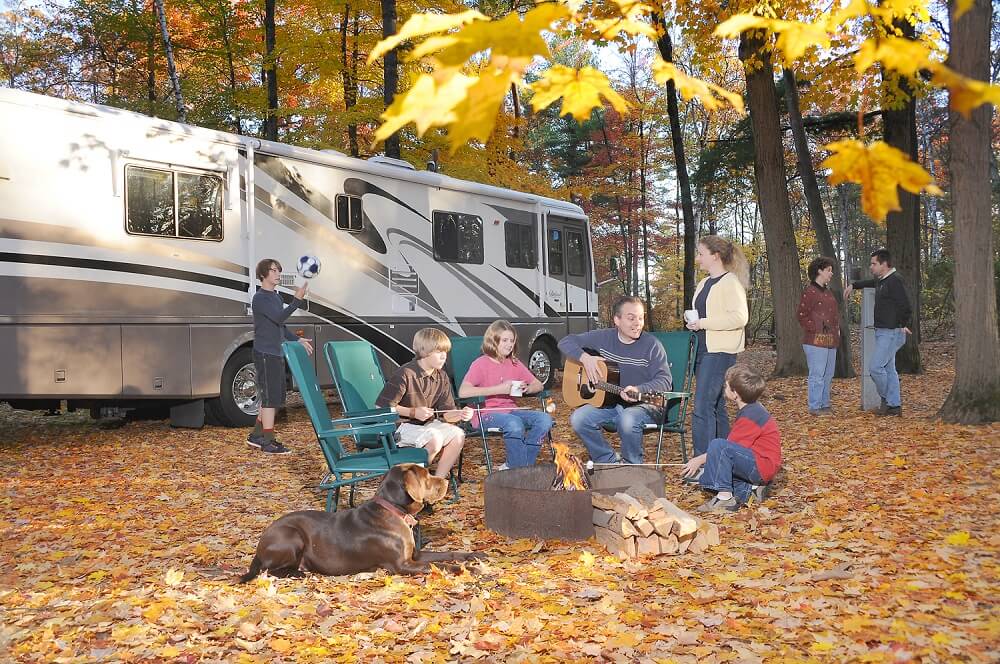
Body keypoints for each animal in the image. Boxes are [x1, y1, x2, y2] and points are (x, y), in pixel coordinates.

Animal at [236, 462, 482, 580]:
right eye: (427, 476)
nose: (446, 480)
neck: (394, 510)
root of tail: (259, 546)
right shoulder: (402, 565)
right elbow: (439, 565)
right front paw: (469, 569)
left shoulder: (415, 555)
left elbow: (447, 554)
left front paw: (474, 555)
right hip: (292, 536)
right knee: (269, 570)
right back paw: (298, 573)